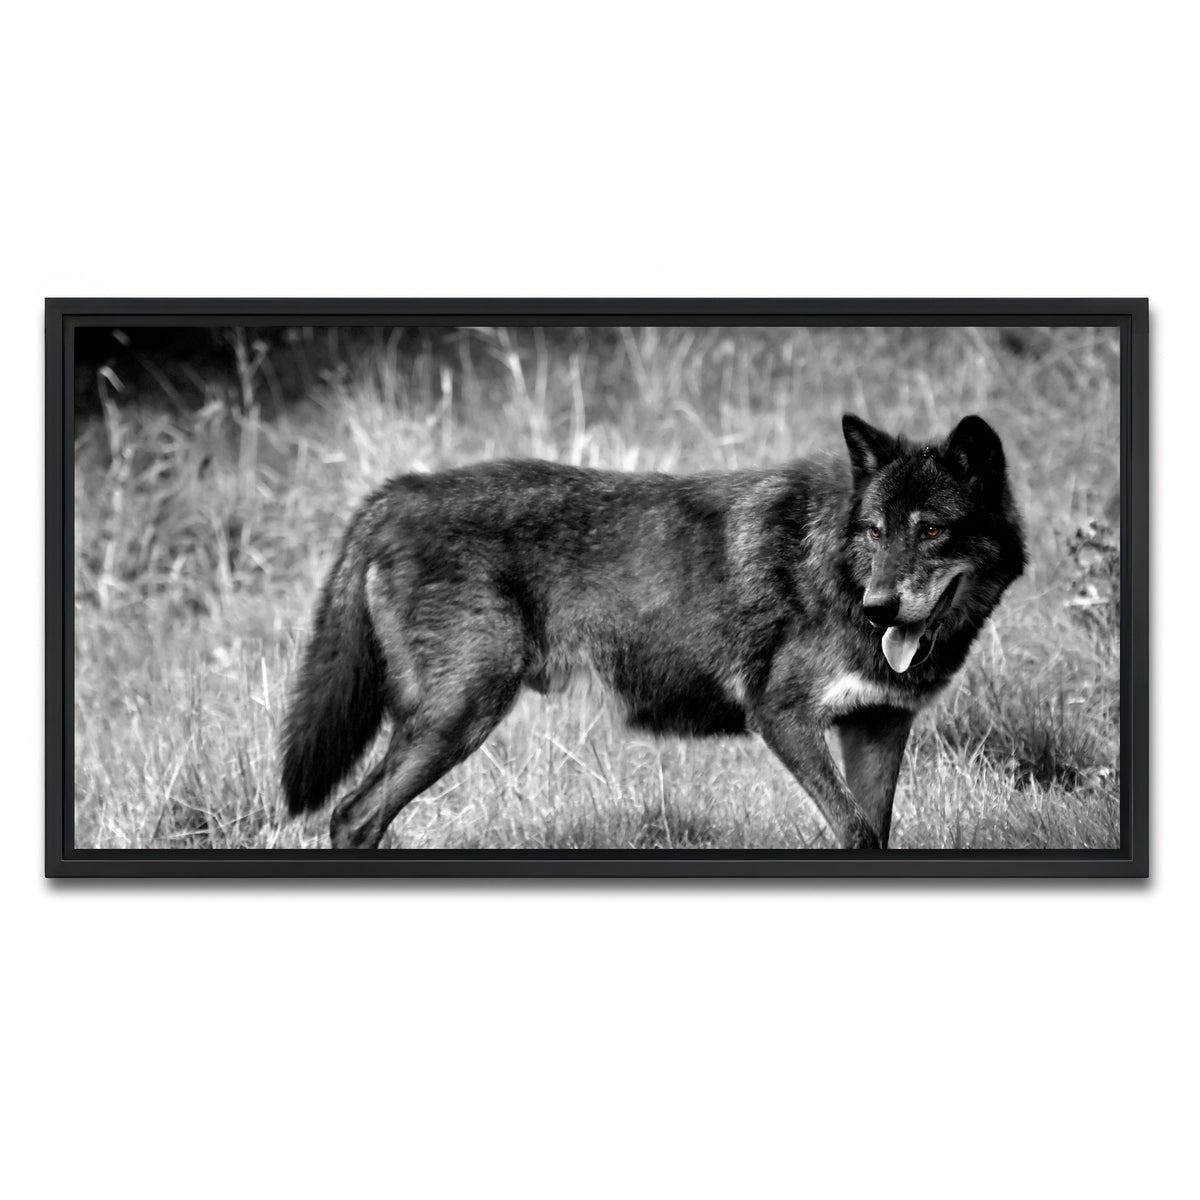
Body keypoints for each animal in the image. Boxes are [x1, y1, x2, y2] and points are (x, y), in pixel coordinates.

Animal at [281, 414, 1025, 850]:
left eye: (931, 531)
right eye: (874, 531)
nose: (880, 609)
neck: (835, 570)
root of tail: (396, 491)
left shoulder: (877, 726)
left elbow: (872, 831)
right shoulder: (781, 717)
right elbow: (851, 828)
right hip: (460, 717)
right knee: (352, 815)